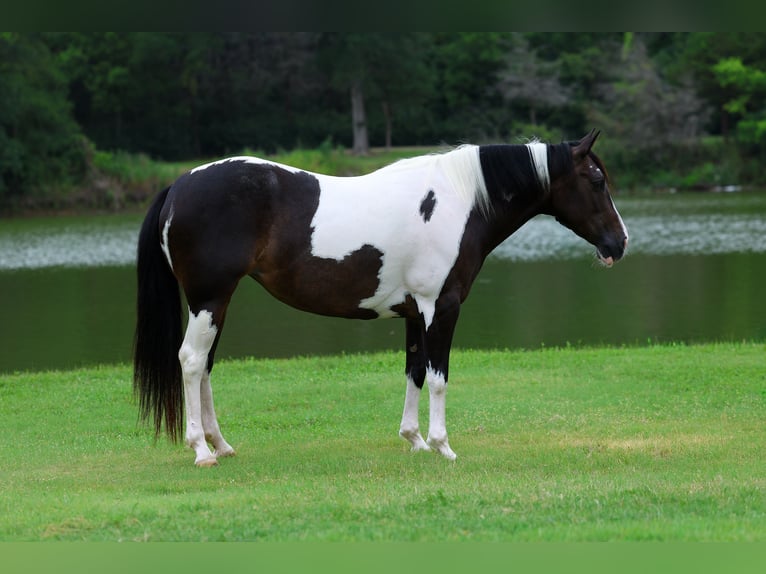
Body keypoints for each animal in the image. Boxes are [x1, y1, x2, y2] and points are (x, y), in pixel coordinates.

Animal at [133, 129, 628, 467]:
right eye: (596, 180)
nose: (619, 244)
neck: (458, 201)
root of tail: (179, 185)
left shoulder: (414, 311)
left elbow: (414, 371)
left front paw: (415, 439)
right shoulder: (441, 307)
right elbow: (439, 376)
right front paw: (443, 446)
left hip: (218, 302)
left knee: (205, 366)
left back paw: (221, 444)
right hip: (208, 299)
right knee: (192, 362)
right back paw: (201, 450)